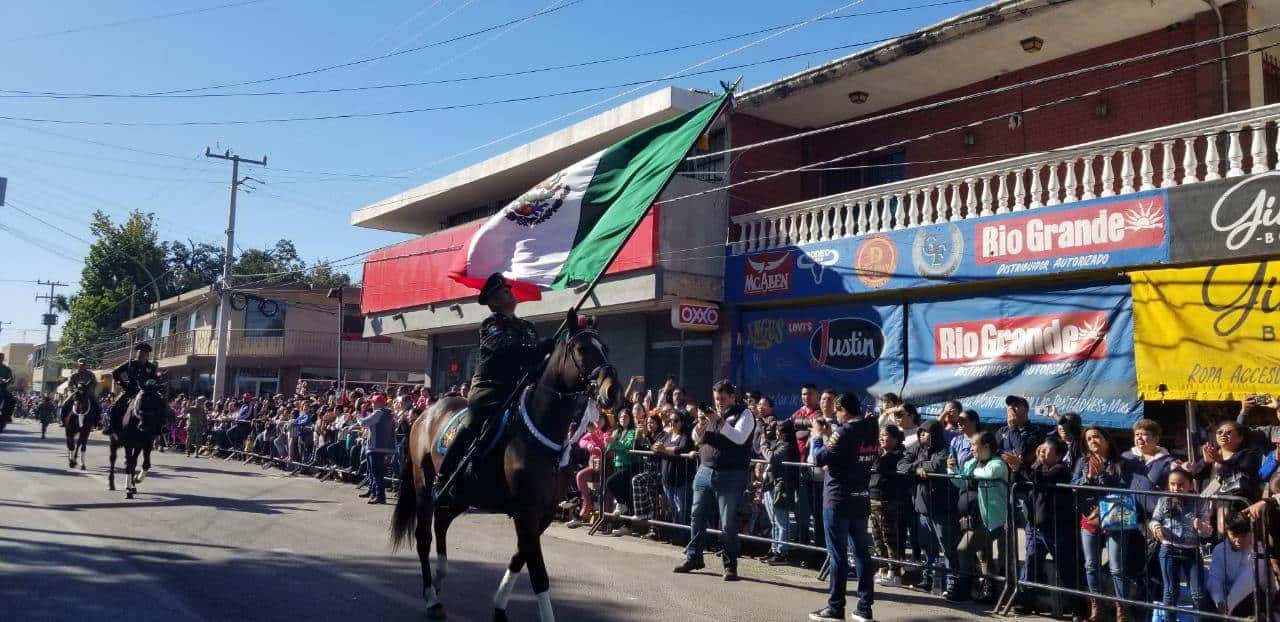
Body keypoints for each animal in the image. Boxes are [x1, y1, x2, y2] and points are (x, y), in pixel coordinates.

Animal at [389, 325, 619, 622]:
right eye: (581, 348)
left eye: (605, 347)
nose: (612, 390)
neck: (539, 432)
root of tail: (423, 415)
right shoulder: (526, 511)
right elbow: (538, 573)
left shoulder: (543, 512)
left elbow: (520, 557)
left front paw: (499, 606)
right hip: (425, 487)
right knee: (423, 537)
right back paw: (431, 598)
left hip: (461, 494)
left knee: (441, 523)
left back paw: (440, 578)